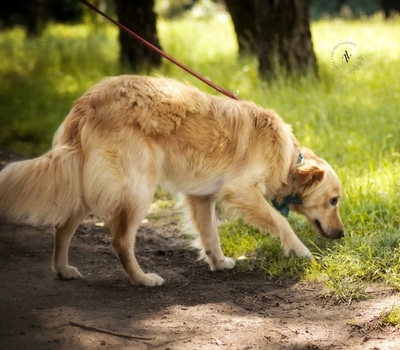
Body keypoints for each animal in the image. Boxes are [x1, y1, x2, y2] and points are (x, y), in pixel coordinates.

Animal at [0, 75, 344, 286]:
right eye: (334, 200)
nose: (341, 235)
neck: (288, 160)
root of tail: (87, 103)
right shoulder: (240, 191)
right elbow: (281, 222)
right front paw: (300, 251)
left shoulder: (201, 197)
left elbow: (210, 235)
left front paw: (218, 262)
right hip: (137, 190)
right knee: (120, 241)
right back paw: (142, 279)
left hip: (87, 187)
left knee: (62, 227)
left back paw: (63, 270)